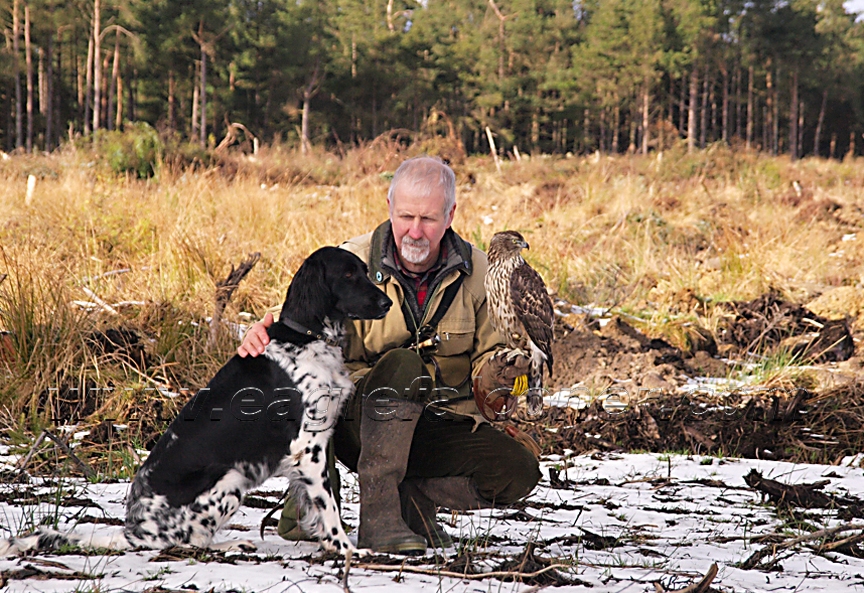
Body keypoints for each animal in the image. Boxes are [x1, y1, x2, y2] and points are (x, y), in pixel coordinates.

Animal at [0, 245, 392, 556]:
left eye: (363, 270)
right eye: (348, 274)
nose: (387, 301)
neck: (305, 337)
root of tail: (135, 531)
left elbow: (316, 509)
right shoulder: (308, 449)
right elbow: (329, 509)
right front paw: (348, 550)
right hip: (228, 479)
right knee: (188, 542)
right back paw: (233, 544)